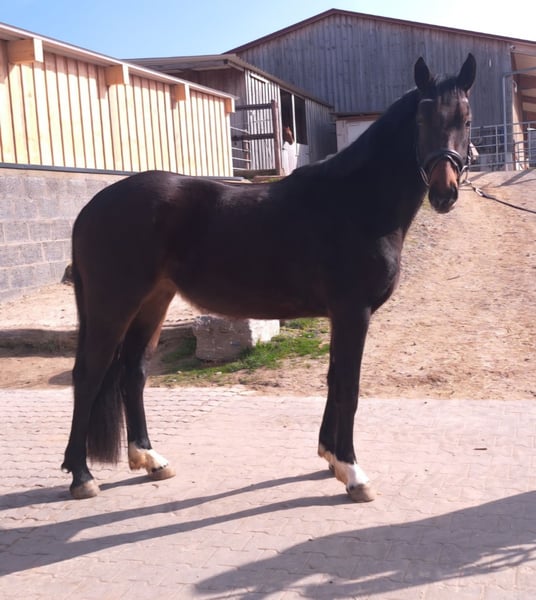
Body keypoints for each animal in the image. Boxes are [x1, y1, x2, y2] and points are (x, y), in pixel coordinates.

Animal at [62, 54, 476, 501]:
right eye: (422, 117)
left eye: (466, 119)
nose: (444, 193)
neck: (356, 202)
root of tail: (92, 207)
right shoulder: (354, 311)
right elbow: (348, 387)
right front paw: (352, 472)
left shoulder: (341, 315)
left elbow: (333, 380)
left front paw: (330, 457)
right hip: (113, 302)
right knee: (89, 373)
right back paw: (81, 475)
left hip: (153, 301)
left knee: (133, 372)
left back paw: (150, 459)